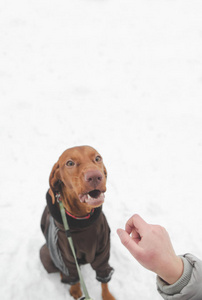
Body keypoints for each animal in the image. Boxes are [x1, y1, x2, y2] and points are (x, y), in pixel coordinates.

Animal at [40, 146, 114, 300]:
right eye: (70, 163)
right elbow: (73, 277)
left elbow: (104, 278)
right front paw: (75, 291)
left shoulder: (103, 253)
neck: (81, 220)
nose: (95, 176)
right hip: (45, 254)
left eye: (97, 158)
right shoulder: (66, 257)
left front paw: (107, 295)